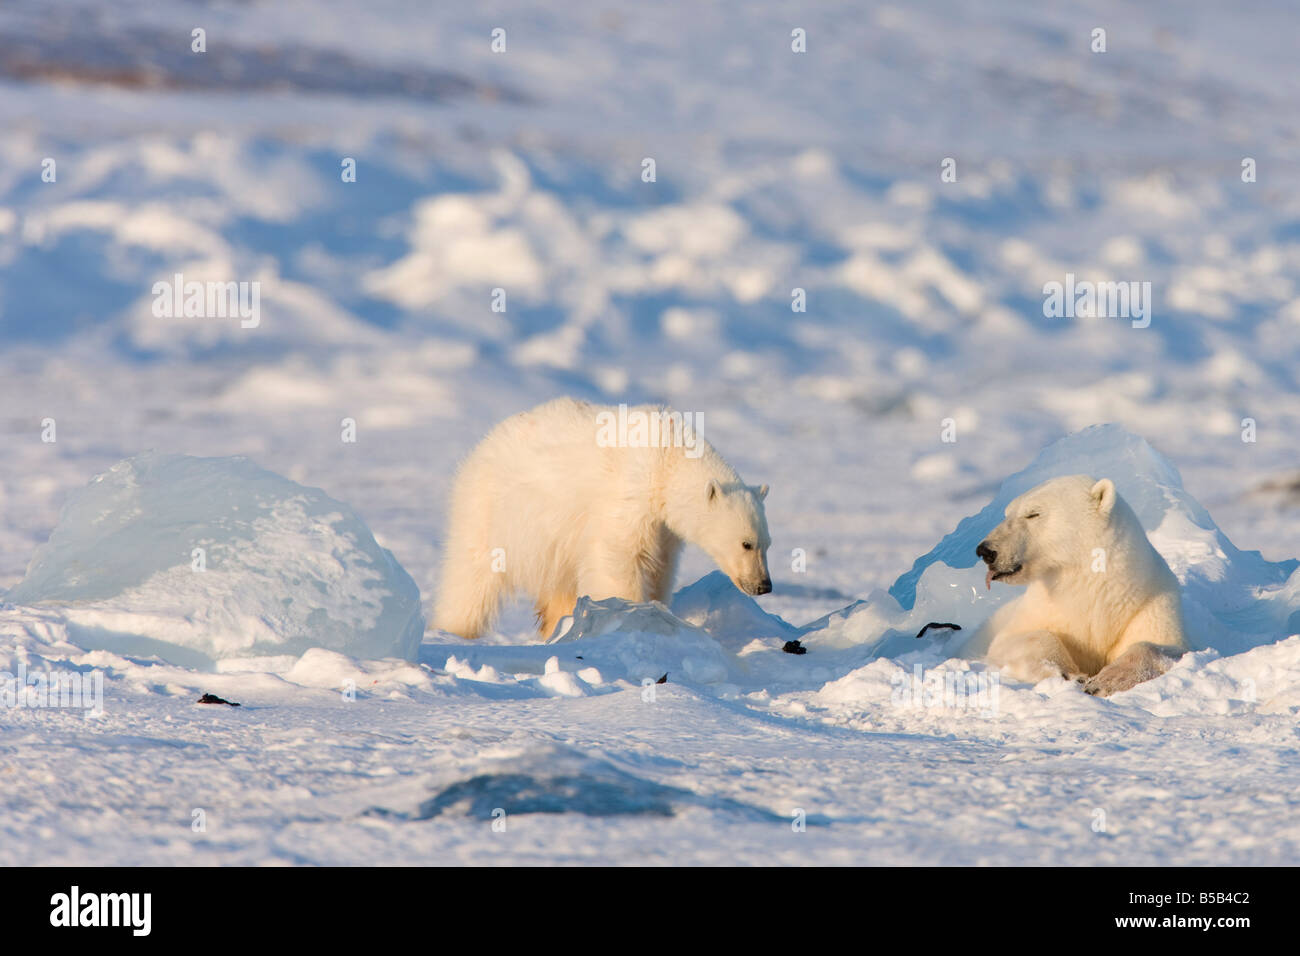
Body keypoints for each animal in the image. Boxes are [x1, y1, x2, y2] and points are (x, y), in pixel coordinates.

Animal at [434, 398, 769, 642]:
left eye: (767, 544)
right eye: (746, 543)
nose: (764, 585)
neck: (667, 456)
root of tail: (485, 442)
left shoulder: (663, 528)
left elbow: (660, 566)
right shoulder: (630, 495)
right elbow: (619, 556)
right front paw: (630, 616)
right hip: (491, 508)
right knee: (471, 576)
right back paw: (453, 630)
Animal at [967, 476, 1190, 697]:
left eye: (1033, 513)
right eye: (1007, 513)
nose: (985, 551)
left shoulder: (1148, 606)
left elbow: (1161, 645)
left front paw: (1105, 680)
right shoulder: (1040, 611)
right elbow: (1013, 641)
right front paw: (1069, 673)